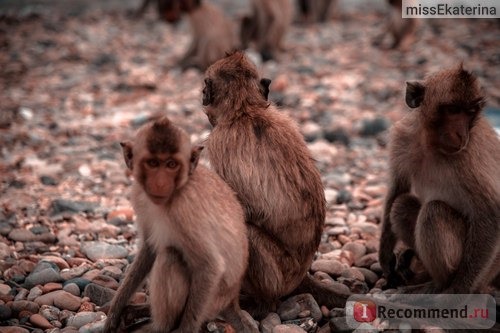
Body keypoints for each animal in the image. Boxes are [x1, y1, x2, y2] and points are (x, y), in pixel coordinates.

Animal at [102, 116, 258, 332]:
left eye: (171, 164)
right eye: (152, 163)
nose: (160, 183)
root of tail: (232, 300)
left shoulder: (184, 211)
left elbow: (210, 266)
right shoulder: (140, 197)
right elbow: (149, 248)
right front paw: (115, 311)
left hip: (213, 301)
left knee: (171, 257)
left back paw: (157, 326)